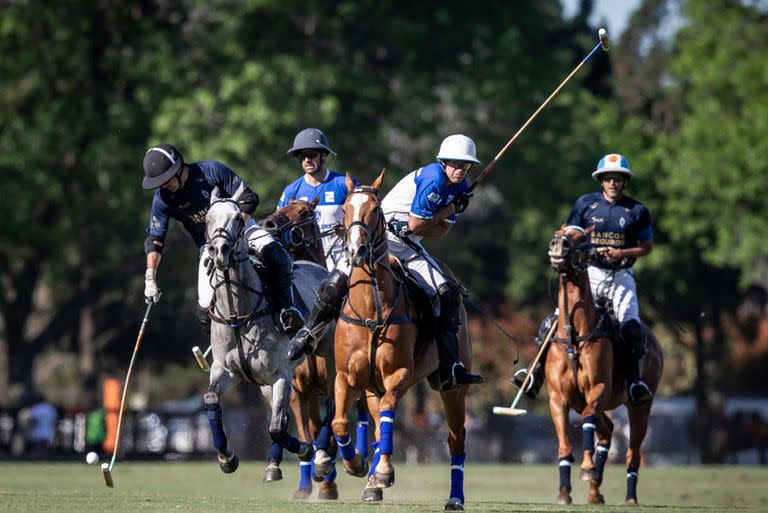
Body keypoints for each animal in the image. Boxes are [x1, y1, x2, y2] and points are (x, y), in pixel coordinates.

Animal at [202, 183, 326, 476]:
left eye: (238, 218)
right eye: (208, 218)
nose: (220, 250)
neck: (238, 314)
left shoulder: (282, 375)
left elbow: (277, 428)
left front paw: (305, 450)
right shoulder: (226, 371)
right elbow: (211, 399)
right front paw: (226, 458)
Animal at [260, 198, 376, 498]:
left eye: (303, 211)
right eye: (282, 203)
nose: (268, 224)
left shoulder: (336, 378)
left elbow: (331, 430)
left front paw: (327, 476)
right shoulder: (300, 389)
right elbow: (306, 432)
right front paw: (306, 485)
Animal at [326, 171, 472, 508]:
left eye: (375, 209)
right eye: (346, 209)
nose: (356, 251)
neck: (371, 314)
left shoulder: (400, 374)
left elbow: (390, 411)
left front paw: (382, 472)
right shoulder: (345, 376)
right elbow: (340, 423)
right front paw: (357, 465)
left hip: (452, 386)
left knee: (455, 439)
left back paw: (454, 498)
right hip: (371, 386)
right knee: (378, 422)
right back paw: (371, 482)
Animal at [544, 225, 664, 504]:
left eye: (581, 238)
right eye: (557, 232)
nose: (557, 246)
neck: (574, 334)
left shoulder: (597, 388)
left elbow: (588, 419)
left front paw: (587, 466)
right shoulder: (558, 398)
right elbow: (564, 445)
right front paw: (564, 492)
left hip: (640, 406)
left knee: (632, 452)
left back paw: (629, 497)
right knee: (607, 430)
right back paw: (594, 491)